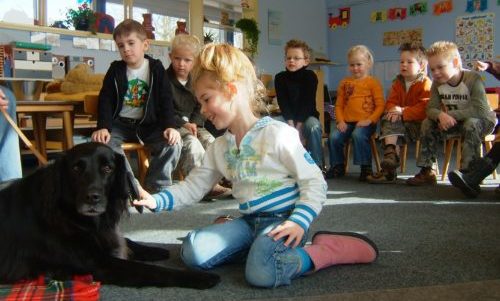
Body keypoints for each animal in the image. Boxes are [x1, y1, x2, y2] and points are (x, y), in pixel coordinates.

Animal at [0, 142, 221, 288]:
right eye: (76, 169)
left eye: (107, 168)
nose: (92, 198)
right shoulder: (98, 263)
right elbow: (152, 270)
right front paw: (198, 277)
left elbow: (127, 240)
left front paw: (155, 250)